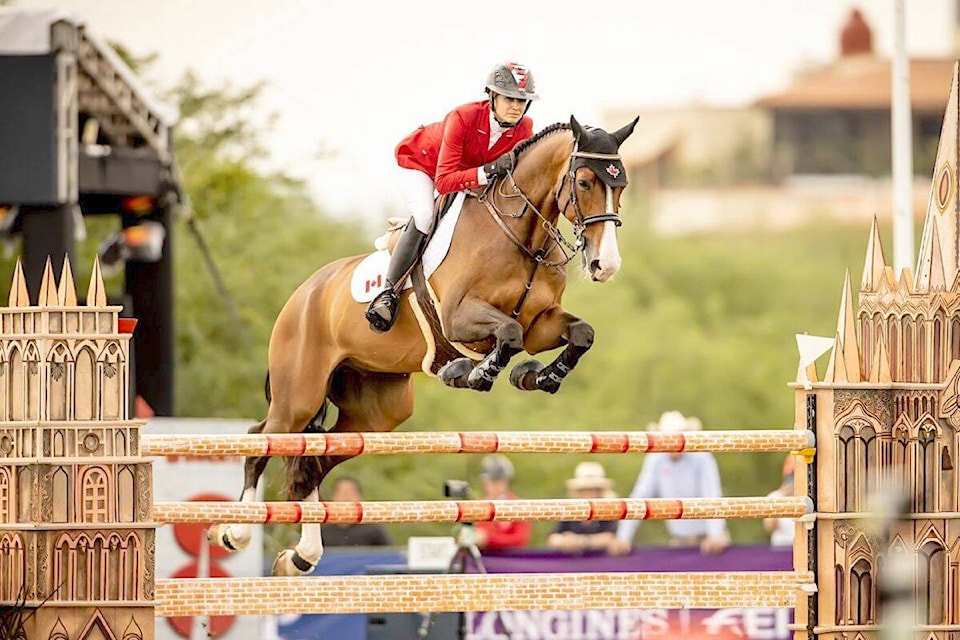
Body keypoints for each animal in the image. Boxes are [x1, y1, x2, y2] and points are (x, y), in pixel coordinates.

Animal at [205, 114, 636, 576]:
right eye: (586, 181)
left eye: (622, 186)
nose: (606, 265)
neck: (522, 236)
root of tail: (302, 294)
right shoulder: (459, 317)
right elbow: (508, 334)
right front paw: (473, 373)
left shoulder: (541, 323)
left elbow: (580, 334)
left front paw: (537, 376)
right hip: (299, 394)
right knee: (260, 440)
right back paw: (234, 532)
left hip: (378, 412)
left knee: (313, 461)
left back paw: (301, 556)